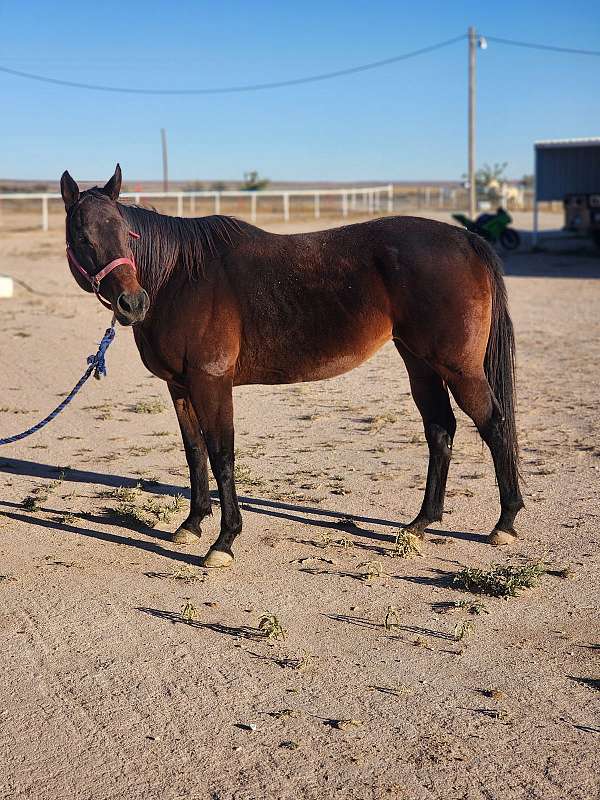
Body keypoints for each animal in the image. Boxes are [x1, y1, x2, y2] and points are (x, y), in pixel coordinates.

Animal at [60, 165, 523, 568]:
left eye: (126, 233)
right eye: (82, 236)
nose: (132, 303)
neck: (178, 276)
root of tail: (466, 240)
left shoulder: (211, 383)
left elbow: (221, 454)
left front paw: (224, 542)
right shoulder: (180, 386)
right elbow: (195, 452)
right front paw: (192, 524)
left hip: (458, 369)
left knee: (495, 425)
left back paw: (505, 522)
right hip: (420, 363)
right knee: (440, 430)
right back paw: (421, 523)